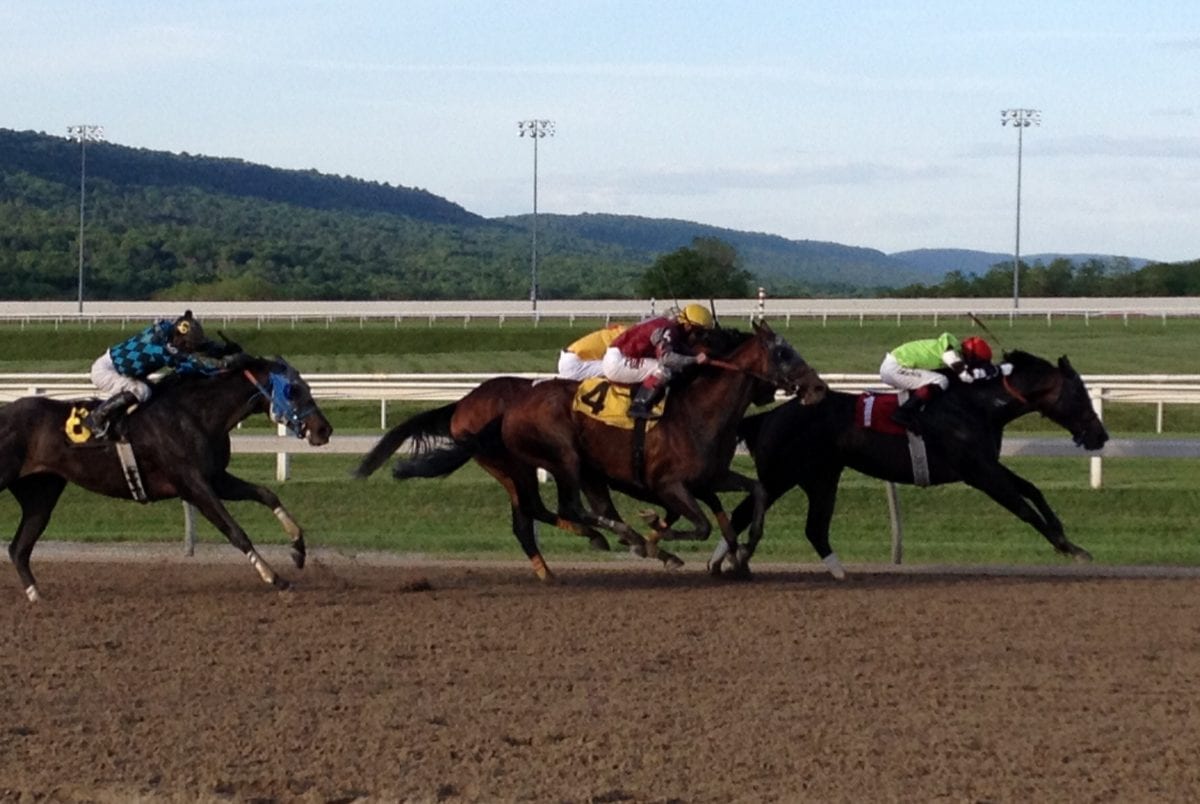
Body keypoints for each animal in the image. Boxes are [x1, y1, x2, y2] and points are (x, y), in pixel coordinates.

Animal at [0, 355, 333, 602]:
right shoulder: (193, 484)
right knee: (18, 546)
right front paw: (275, 578)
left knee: (19, 548)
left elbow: (266, 494)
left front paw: (298, 550)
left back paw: (36, 595)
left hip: (42, 492)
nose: (324, 430)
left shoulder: (215, 478)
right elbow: (235, 531)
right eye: (294, 390)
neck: (195, 414)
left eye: (306, 386)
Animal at [724, 350, 1108, 573]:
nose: (1100, 436)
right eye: (1079, 394)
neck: (976, 406)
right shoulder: (979, 472)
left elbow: (1033, 490)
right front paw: (1068, 548)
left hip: (817, 477)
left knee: (801, 525)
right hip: (782, 475)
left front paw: (1068, 540)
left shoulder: (987, 464)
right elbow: (1023, 507)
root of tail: (769, 415)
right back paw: (734, 560)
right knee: (749, 513)